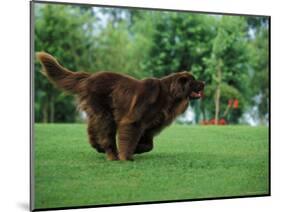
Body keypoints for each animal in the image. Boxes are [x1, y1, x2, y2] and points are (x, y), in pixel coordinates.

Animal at [36, 52, 203, 161]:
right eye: (193, 81)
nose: (204, 83)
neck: (168, 94)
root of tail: (89, 77)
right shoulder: (134, 120)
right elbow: (128, 139)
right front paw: (126, 157)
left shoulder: (150, 125)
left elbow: (148, 144)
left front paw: (137, 149)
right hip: (106, 114)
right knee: (106, 136)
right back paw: (113, 156)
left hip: (98, 112)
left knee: (92, 129)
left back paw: (98, 147)